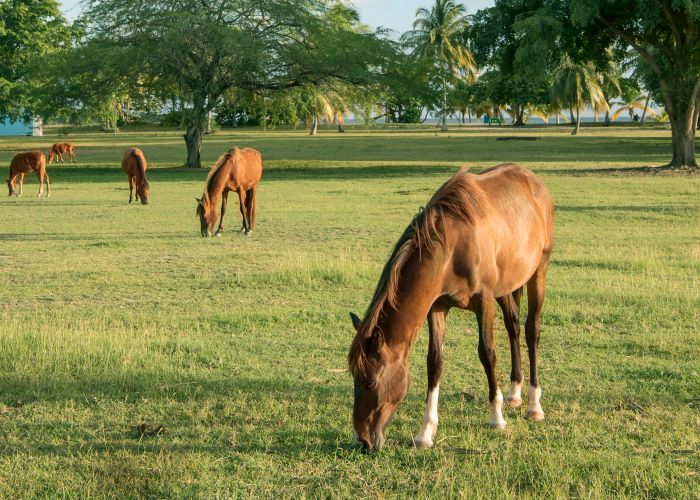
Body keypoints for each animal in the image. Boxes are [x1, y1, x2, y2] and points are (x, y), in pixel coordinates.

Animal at [348, 164, 556, 454]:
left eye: (369, 383)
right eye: (354, 378)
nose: (363, 441)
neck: (453, 246)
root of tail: (533, 180)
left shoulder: (485, 301)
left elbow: (487, 353)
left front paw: (496, 418)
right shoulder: (437, 306)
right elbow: (434, 362)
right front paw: (425, 433)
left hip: (539, 272)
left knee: (531, 331)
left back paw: (534, 405)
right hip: (507, 287)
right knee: (513, 326)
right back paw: (515, 392)